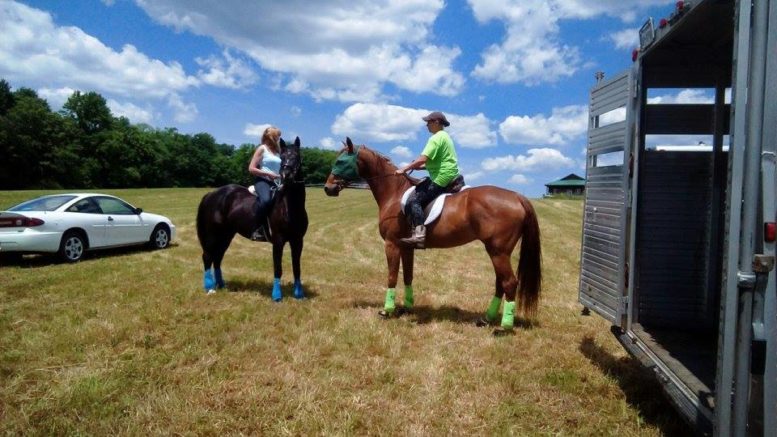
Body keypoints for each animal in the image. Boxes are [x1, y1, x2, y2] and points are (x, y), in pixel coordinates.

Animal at [196, 136, 308, 300]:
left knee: (218, 257)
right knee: (208, 256)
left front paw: (299, 294)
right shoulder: (278, 241)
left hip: (226, 235)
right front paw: (276, 295)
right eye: (282, 157)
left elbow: (297, 267)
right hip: (213, 234)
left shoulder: (298, 240)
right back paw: (209, 287)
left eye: (297, 156)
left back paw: (221, 285)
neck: (288, 207)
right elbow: (278, 268)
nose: (286, 175)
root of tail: (212, 194)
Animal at [322, 138, 540, 332]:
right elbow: (408, 276)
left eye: (341, 162)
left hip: (498, 252)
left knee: (509, 283)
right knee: (500, 283)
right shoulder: (406, 247)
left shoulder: (392, 244)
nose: (328, 188)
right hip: (497, 252)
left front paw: (387, 310)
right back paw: (486, 319)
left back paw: (504, 327)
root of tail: (517, 197)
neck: (394, 193)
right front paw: (406, 307)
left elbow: (392, 276)